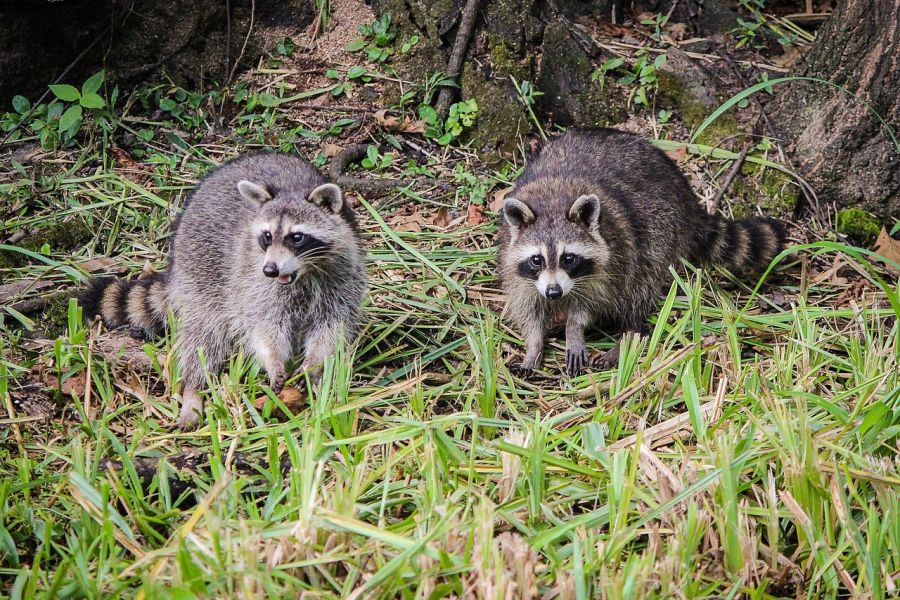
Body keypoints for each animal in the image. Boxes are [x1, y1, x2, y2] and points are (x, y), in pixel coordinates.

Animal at [80, 152, 366, 428]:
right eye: (267, 236)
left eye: (296, 237)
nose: (270, 270)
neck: (303, 273)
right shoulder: (253, 282)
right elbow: (263, 327)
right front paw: (273, 360)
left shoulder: (342, 278)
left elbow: (332, 327)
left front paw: (313, 364)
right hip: (199, 275)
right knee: (202, 337)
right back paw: (193, 390)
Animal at [496, 129, 784, 378]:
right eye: (537, 260)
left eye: (569, 258)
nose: (554, 292)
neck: (552, 202)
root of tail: (686, 195)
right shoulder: (517, 268)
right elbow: (528, 308)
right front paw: (534, 346)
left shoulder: (610, 259)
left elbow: (591, 302)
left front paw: (574, 329)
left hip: (662, 229)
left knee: (640, 282)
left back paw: (630, 333)